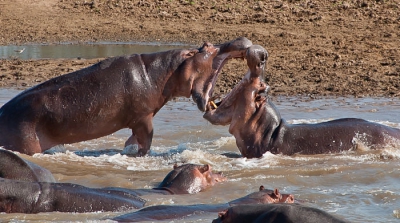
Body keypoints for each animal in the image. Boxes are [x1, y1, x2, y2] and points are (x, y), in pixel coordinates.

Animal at [0, 37, 252, 155]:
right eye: (208, 47)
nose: (240, 40)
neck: (165, 72)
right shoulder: (143, 118)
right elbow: (146, 140)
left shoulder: (137, 120)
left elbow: (132, 140)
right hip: (26, 141)